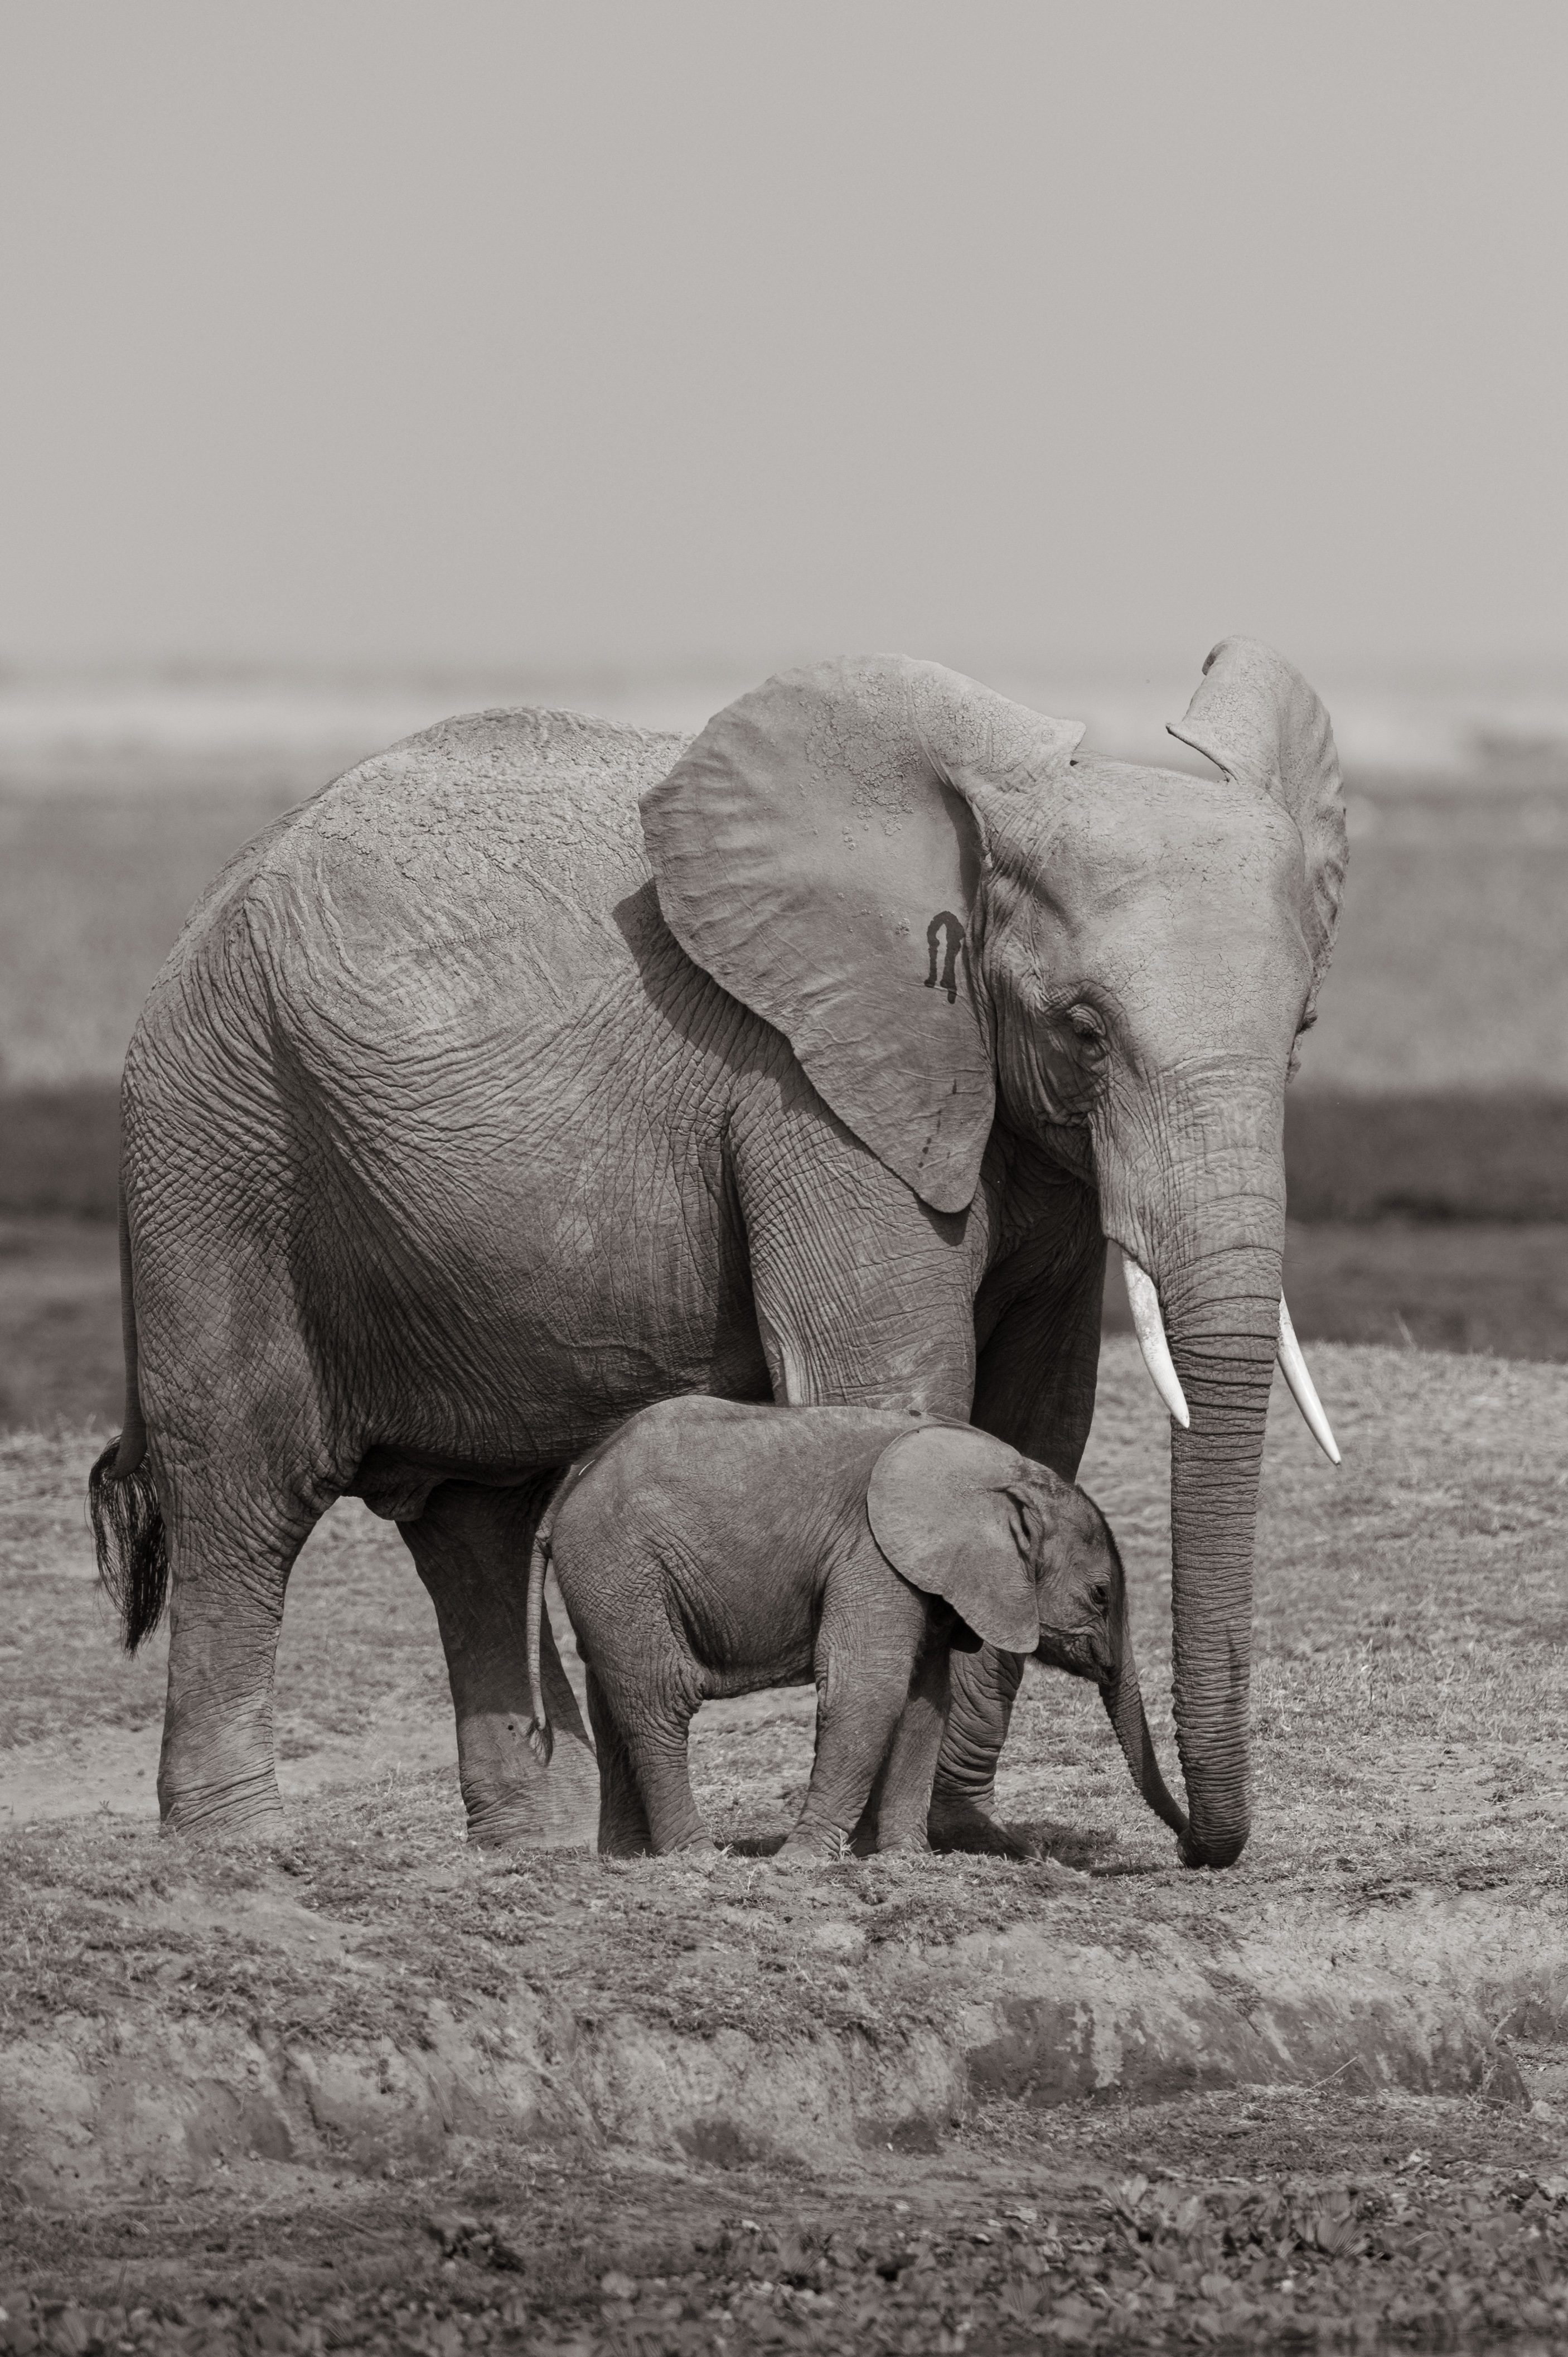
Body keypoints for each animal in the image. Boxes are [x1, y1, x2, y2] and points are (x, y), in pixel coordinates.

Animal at [522, 1396, 1189, 1862]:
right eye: (1100, 1595)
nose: (1186, 1850)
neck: (1004, 1471)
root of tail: (573, 1478)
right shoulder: (871, 1552)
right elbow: (867, 1688)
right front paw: (801, 1863)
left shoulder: (923, 1575)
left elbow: (924, 1702)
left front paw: (904, 1860)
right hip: (620, 1562)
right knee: (661, 1697)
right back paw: (699, 1857)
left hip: (612, 1579)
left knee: (615, 1698)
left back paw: (631, 1858)